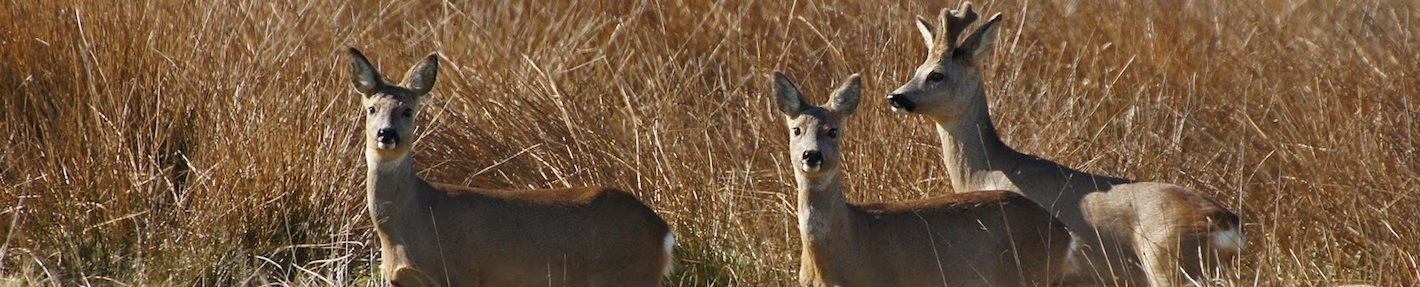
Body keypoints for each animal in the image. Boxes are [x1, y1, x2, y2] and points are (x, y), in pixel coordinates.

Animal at [346, 48, 673, 285]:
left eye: (408, 110)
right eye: (371, 108)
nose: (386, 134)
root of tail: (663, 232)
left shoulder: (461, 272)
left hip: (626, 274)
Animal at [886, 2, 1243, 284]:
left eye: (936, 74)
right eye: (918, 68)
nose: (896, 96)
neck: (988, 170)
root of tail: (1228, 223)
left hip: (1170, 262)